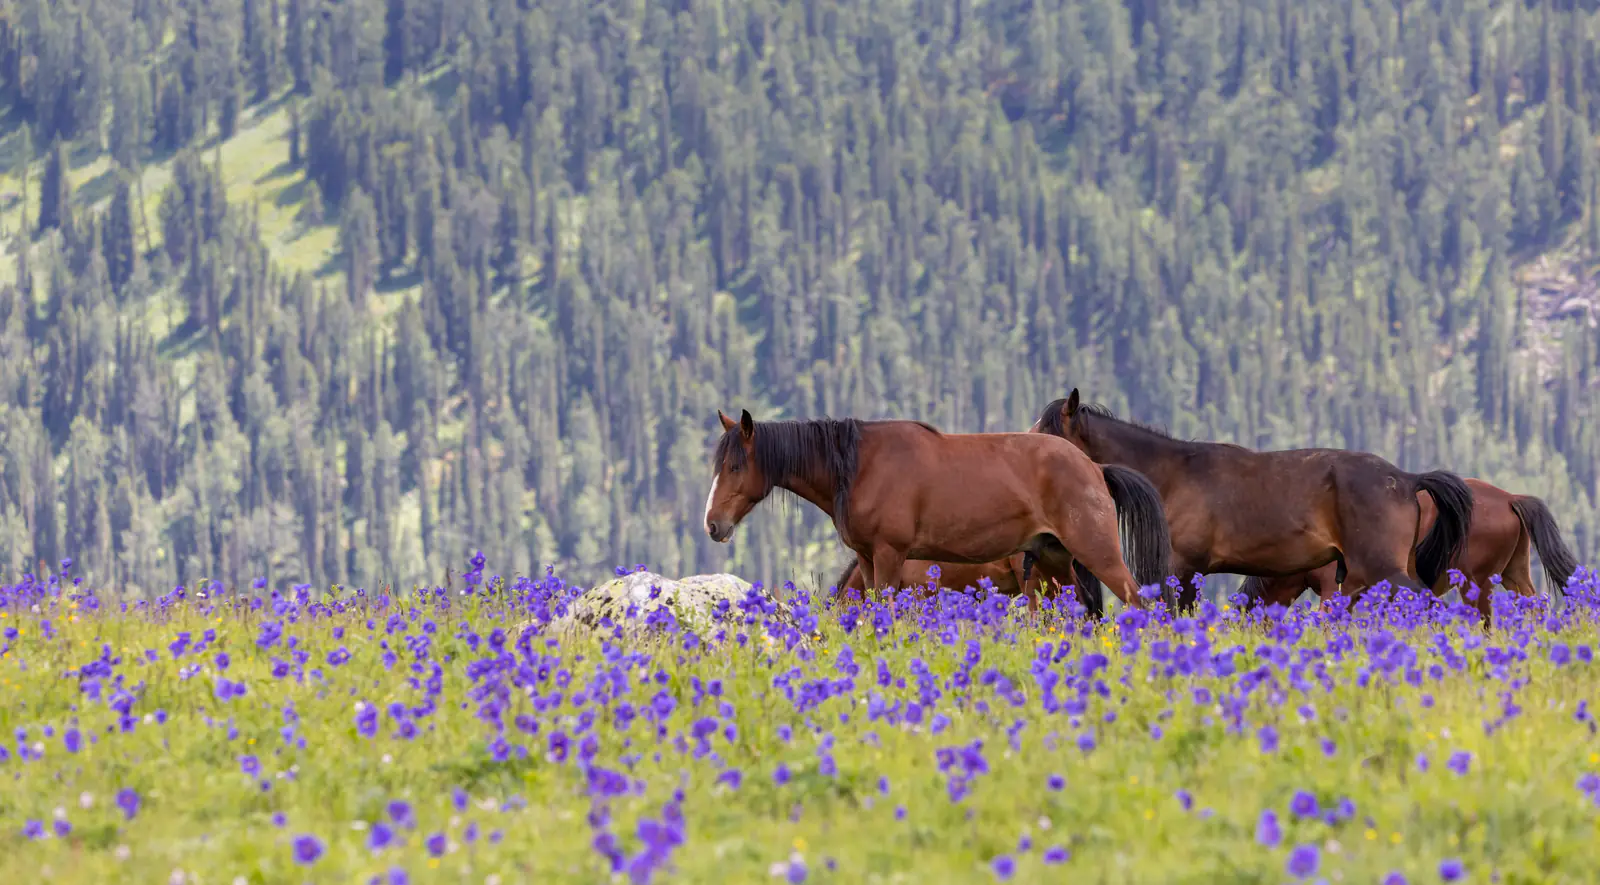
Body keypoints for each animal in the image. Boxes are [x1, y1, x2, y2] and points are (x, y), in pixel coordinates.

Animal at [703, 409, 1170, 610]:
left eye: (735, 466)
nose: (712, 524)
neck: (860, 466)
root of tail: (1094, 468)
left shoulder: (890, 556)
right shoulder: (868, 559)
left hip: (1096, 553)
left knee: (1138, 604)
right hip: (1052, 560)